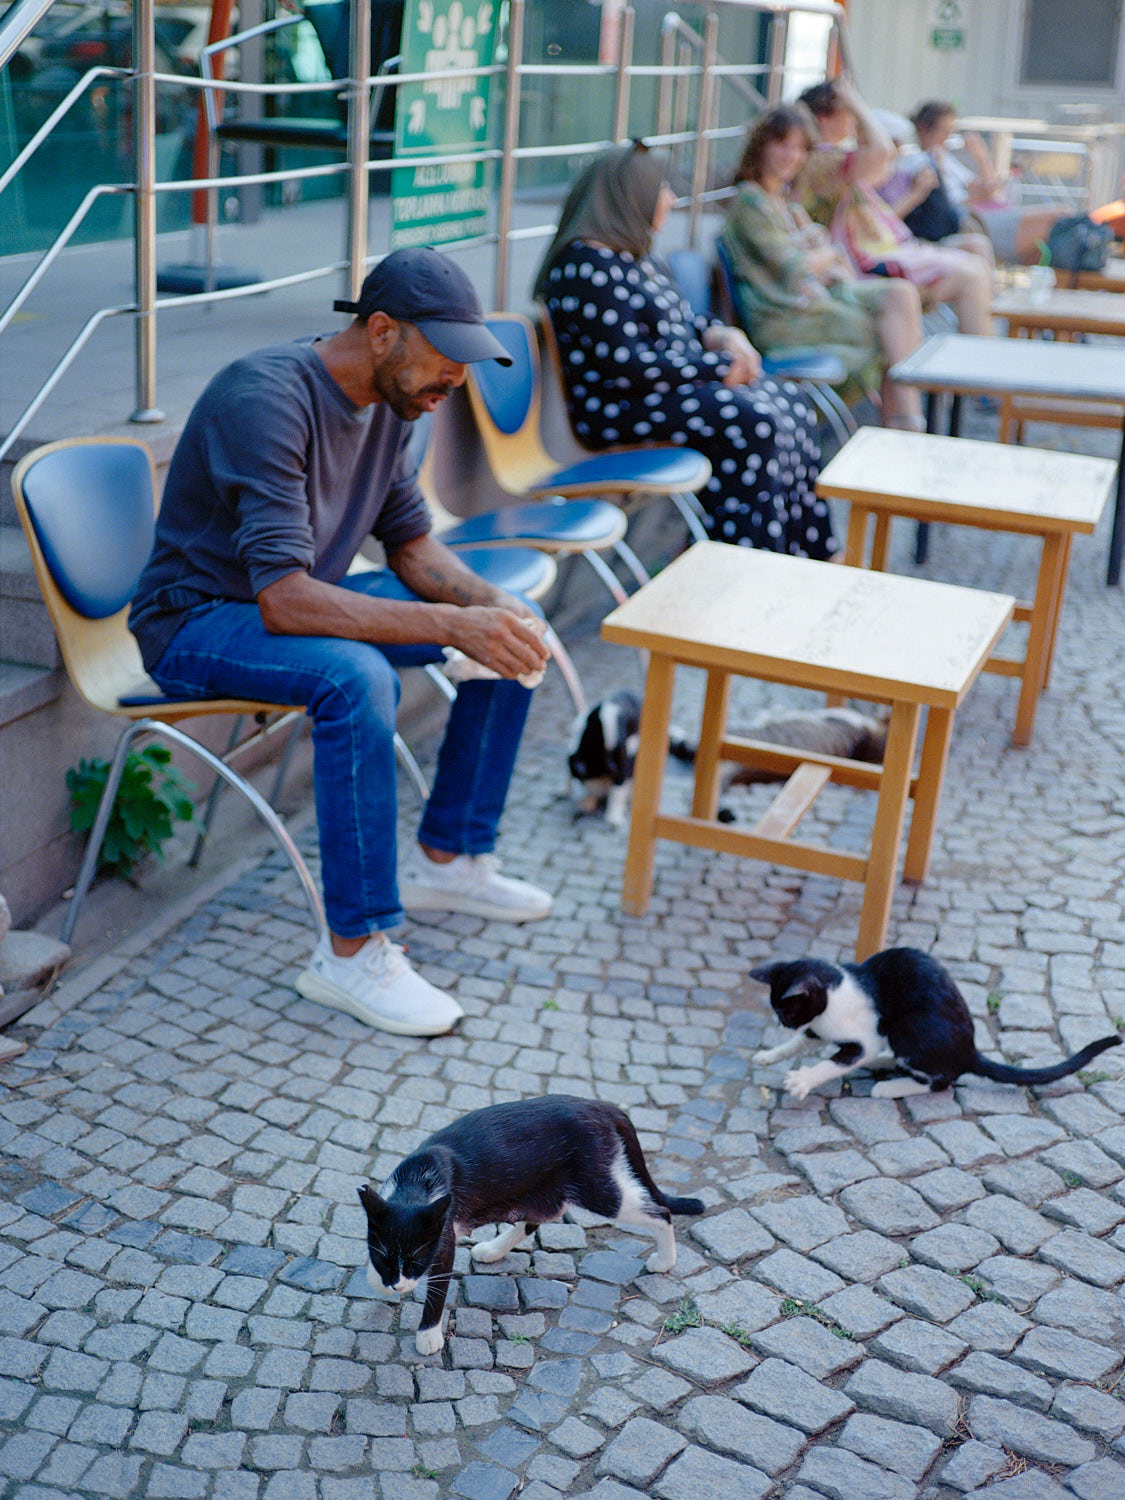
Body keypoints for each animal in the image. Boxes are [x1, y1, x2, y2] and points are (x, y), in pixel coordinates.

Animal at [358, 1098, 705, 1356]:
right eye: (385, 1258)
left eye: (417, 1260)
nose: (399, 1286)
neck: (416, 1183)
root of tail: (602, 1106)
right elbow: (376, 1273)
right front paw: (380, 1283)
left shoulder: (443, 1240)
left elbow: (438, 1288)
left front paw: (428, 1336)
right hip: (543, 1190)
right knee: (537, 1218)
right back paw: (493, 1250)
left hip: (599, 1189)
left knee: (660, 1212)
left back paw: (665, 1260)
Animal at [750, 948, 1122, 1104]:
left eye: (786, 1011)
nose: (780, 1022)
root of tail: (970, 1052)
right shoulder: (818, 1028)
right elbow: (803, 1042)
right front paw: (769, 1055)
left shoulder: (864, 1037)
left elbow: (835, 1061)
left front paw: (804, 1079)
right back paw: (887, 1063)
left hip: (908, 1028)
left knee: (943, 1082)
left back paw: (890, 1086)